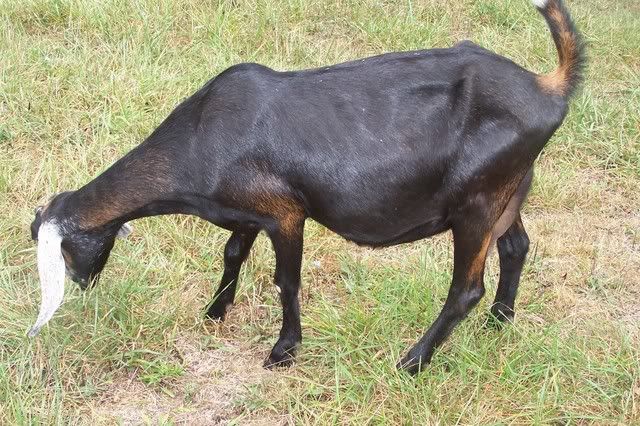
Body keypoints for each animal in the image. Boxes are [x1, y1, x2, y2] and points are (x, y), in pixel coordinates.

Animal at [29, 0, 584, 374]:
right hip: (511, 189)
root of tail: (548, 86)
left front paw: (283, 351)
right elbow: (232, 253)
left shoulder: (285, 213)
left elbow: (286, 281)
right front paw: (215, 311)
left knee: (466, 288)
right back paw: (499, 323)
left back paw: (412, 361)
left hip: (477, 200)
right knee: (515, 246)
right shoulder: (246, 213)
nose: (82, 284)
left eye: (67, 252)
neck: (203, 134)